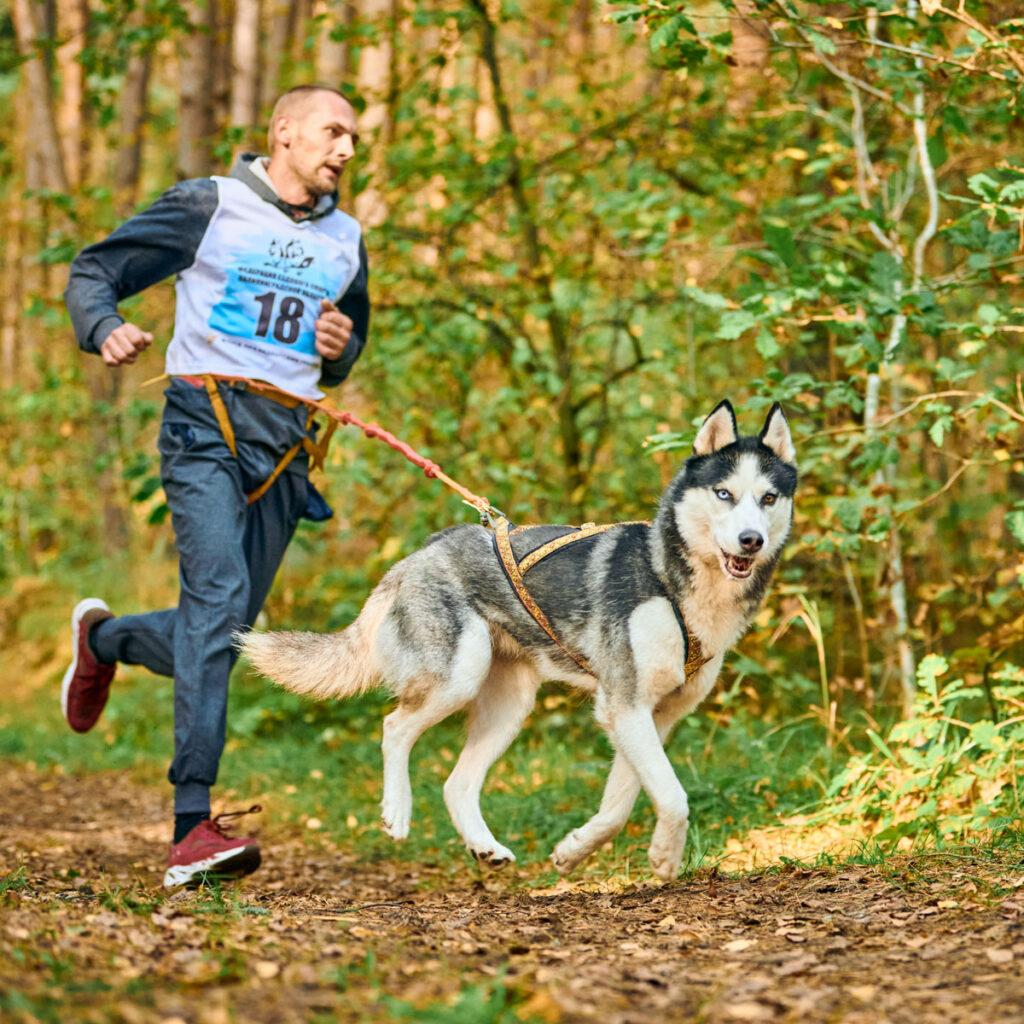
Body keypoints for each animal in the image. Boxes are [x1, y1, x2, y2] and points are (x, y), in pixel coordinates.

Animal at [237, 399, 790, 880]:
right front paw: (666, 854)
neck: (670, 579)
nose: (751, 541)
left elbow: (620, 804)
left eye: (768, 498)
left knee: (456, 784)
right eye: (724, 494)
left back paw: (485, 847)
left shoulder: (653, 716)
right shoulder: (626, 704)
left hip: (510, 706)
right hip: (457, 678)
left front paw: (575, 851)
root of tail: (416, 556)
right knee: (394, 728)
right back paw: (397, 811)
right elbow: (673, 796)